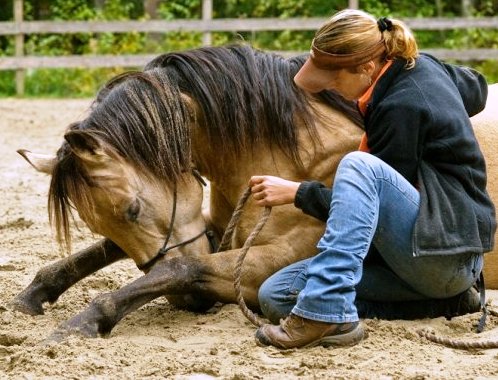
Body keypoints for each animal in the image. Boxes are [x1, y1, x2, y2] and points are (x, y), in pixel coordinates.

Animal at [11, 46, 498, 340]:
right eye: (103, 221)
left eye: (132, 209)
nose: (188, 306)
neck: (289, 145)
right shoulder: (211, 227)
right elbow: (99, 254)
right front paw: (35, 293)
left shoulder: (273, 258)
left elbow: (182, 266)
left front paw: (84, 321)